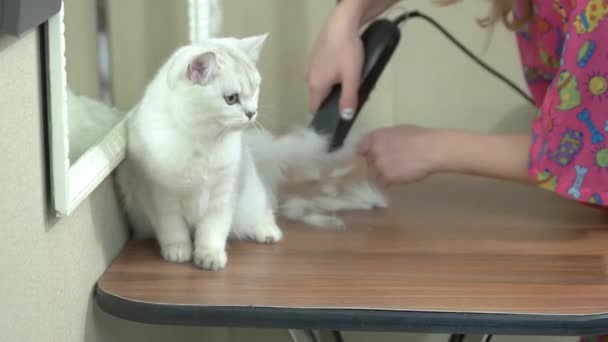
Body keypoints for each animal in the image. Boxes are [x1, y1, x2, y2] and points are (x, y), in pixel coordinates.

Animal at [116, 34, 364, 270]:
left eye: (254, 91)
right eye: (231, 99)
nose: (252, 113)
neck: (203, 141)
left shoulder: (224, 193)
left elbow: (212, 230)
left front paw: (209, 257)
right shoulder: (160, 196)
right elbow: (173, 229)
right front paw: (179, 252)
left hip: (251, 194)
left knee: (263, 211)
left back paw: (267, 232)